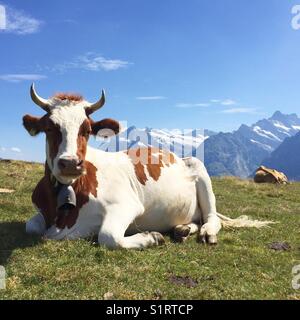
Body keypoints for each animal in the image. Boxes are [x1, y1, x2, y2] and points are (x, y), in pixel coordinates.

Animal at [23, 84, 272, 249]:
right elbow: (31, 225)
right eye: (50, 128)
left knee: (211, 218)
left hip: (200, 169)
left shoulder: (126, 205)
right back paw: (182, 229)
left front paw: (151, 237)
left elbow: (108, 237)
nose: (70, 163)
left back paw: (205, 232)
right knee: (195, 219)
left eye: (87, 130)